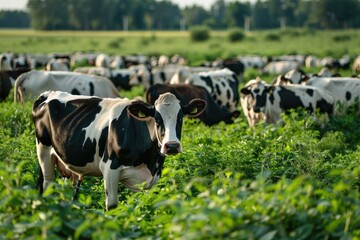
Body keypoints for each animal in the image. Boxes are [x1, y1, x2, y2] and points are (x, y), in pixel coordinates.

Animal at [32, 91, 207, 209]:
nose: (171, 146)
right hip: (44, 151)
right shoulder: (110, 168)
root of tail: (47, 94)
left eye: (180, 118)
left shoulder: (150, 178)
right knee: (47, 184)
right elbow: (112, 206)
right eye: (157, 119)